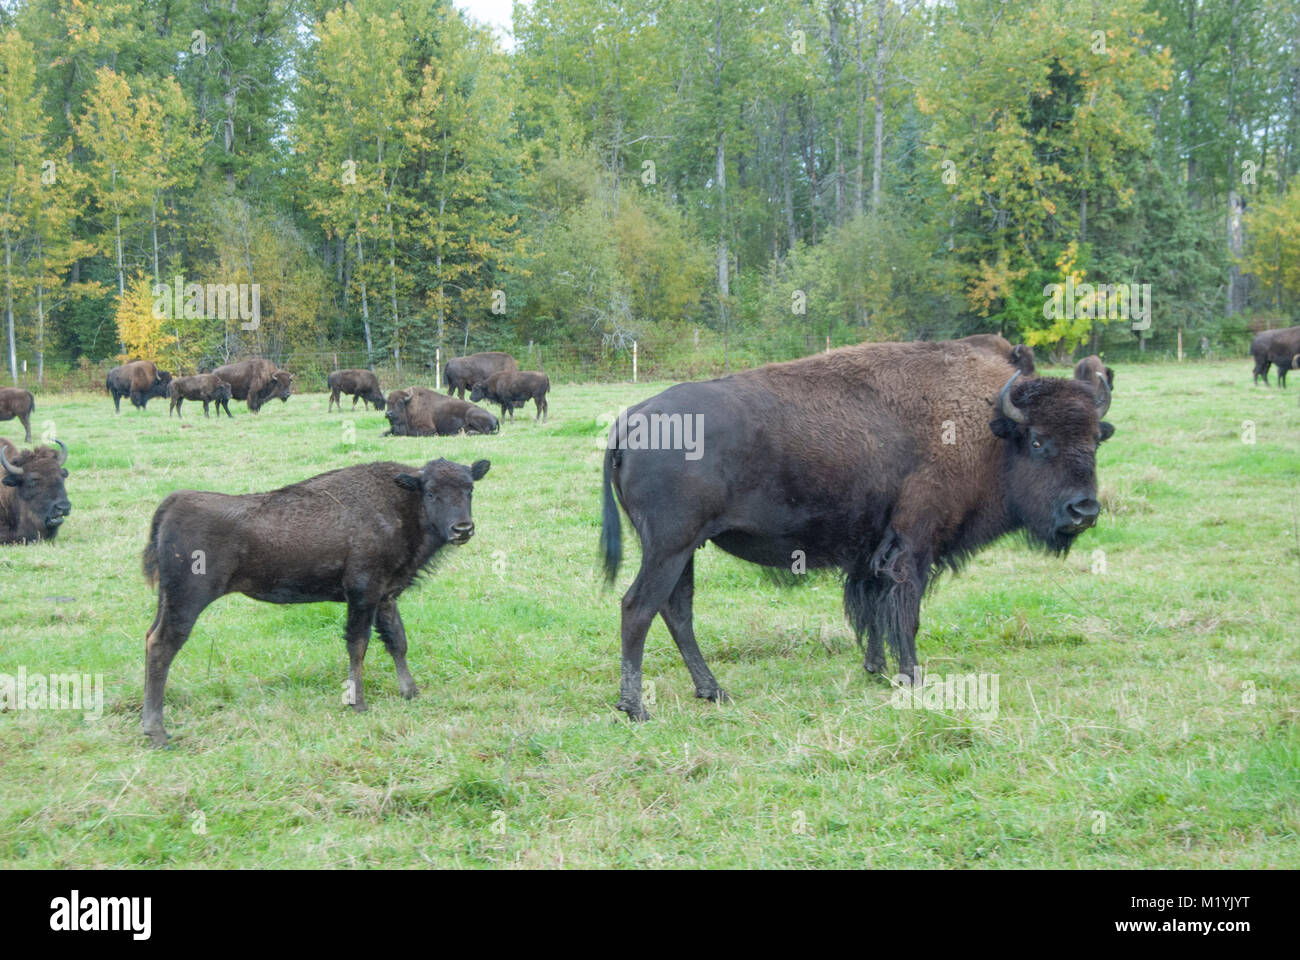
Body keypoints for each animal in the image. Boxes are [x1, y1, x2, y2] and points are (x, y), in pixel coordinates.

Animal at [140, 457, 491, 745]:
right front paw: (358, 703)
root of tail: (173, 503)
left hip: (166, 601)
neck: (402, 501)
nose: (462, 529)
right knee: (162, 647)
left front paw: (411, 692)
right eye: (431, 492)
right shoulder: (362, 594)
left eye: (470, 489)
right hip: (186, 603)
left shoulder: (386, 597)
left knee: (150, 638)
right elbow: (358, 645)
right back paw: (157, 732)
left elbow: (397, 642)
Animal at [599, 338, 1113, 721]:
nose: (1084, 510)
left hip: (684, 550)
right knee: (638, 608)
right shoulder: (913, 547)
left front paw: (876, 669)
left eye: (1095, 439)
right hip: (670, 547)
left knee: (677, 611)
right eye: (1039, 441)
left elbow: (873, 613)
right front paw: (912, 678)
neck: (987, 428)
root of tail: (632, 419)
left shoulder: (873, 553)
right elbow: (905, 614)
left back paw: (712, 691)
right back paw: (636, 708)